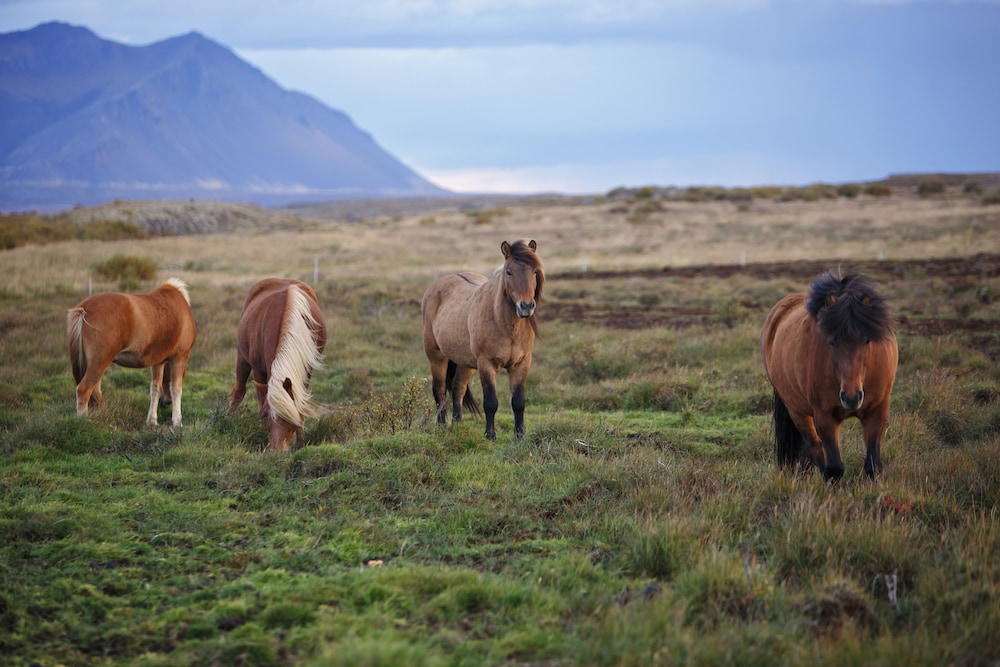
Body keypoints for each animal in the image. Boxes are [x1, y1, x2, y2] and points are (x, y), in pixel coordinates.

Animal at [67, 278, 197, 427]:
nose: (167, 402)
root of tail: (84, 308)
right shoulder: (179, 357)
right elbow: (176, 389)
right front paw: (177, 421)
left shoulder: (158, 362)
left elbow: (155, 389)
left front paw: (152, 420)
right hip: (99, 363)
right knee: (84, 390)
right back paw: (83, 423)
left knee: (95, 390)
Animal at [229, 278, 326, 452]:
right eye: (265, 416)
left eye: (288, 415)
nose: (277, 451)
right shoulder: (258, 371)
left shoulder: (306, 372)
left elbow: (300, 403)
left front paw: (300, 443)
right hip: (242, 357)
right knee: (239, 390)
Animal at [421, 239, 544, 441]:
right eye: (508, 272)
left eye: (534, 271)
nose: (526, 306)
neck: (504, 323)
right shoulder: (486, 364)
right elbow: (491, 402)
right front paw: (490, 435)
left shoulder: (521, 363)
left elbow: (518, 402)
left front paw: (520, 435)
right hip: (436, 357)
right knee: (439, 391)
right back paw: (441, 427)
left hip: (465, 363)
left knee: (458, 389)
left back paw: (458, 425)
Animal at [760, 271, 898, 481]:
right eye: (832, 341)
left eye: (866, 340)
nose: (851, 397)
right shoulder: (824, 416)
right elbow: (833, 468)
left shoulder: (878, 409)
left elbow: (873, 465)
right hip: (797, 411)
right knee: (813, 445)